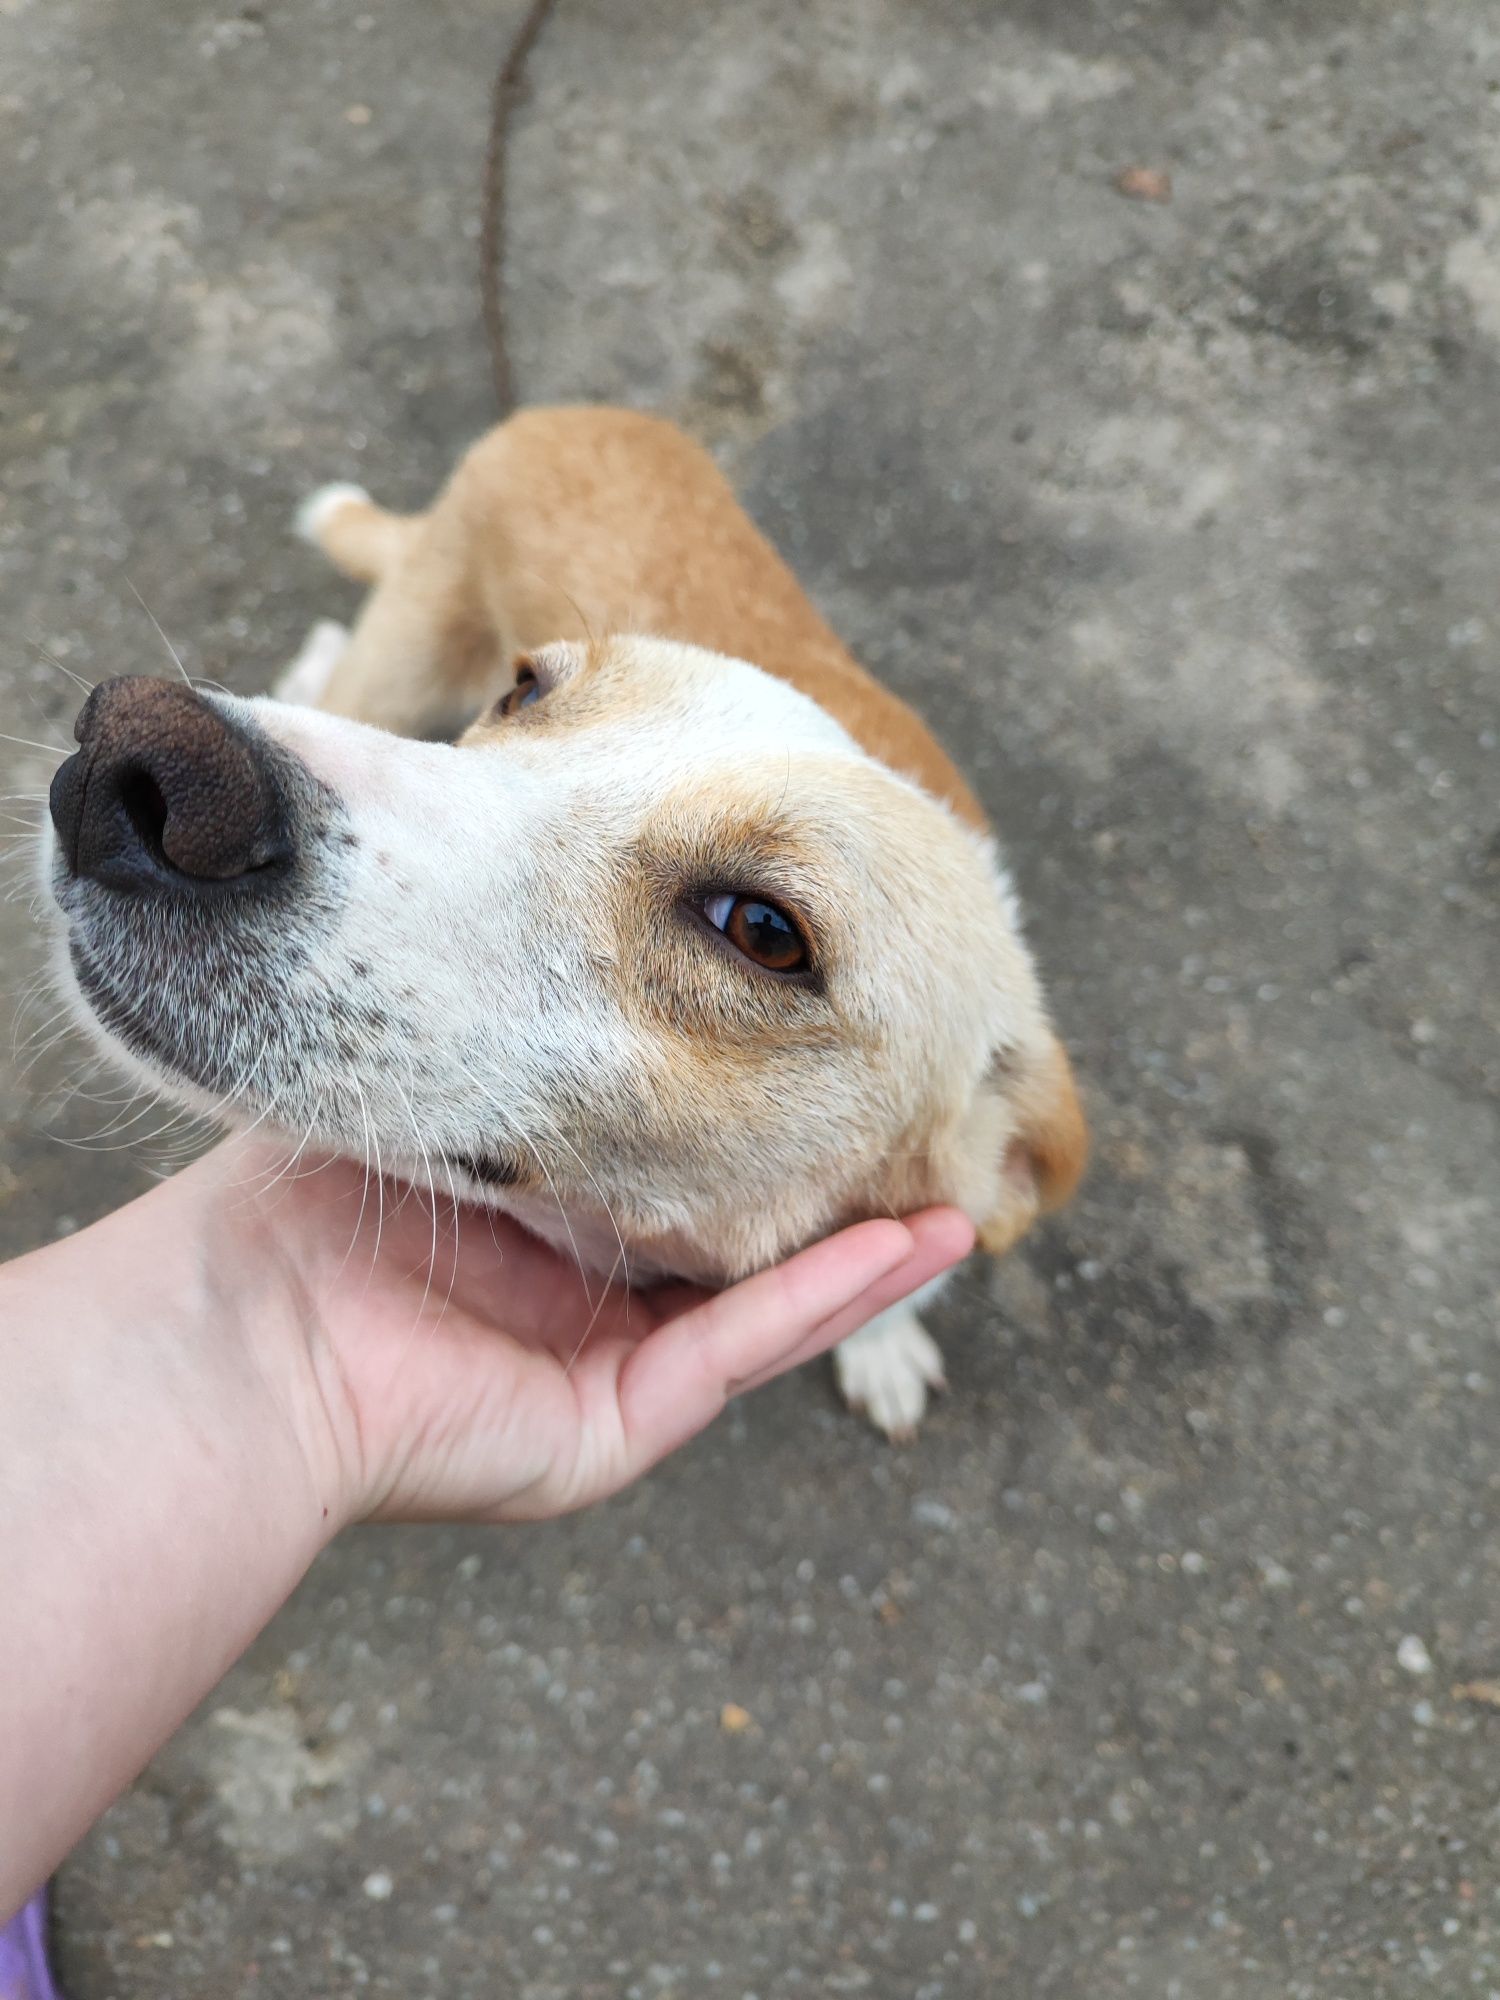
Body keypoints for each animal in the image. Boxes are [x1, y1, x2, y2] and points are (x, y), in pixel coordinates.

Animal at [41, 406, 1088, 1440]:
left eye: (763, 930)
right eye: (525, 689)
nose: (130, 764)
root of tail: (559, 411)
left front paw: (881, 1341)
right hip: (401, 659)